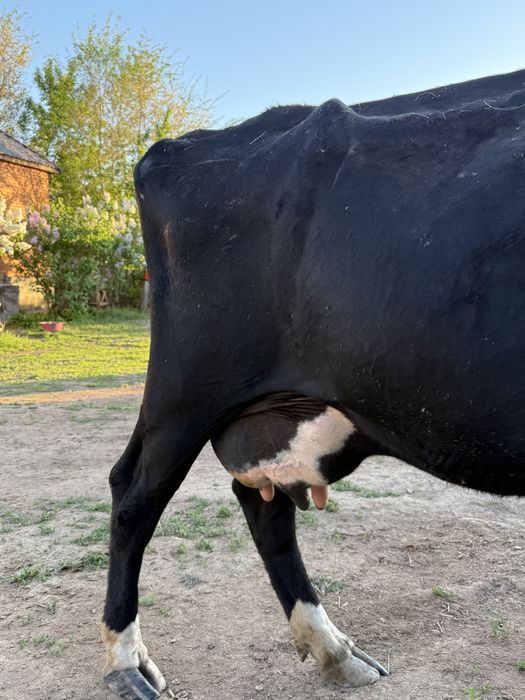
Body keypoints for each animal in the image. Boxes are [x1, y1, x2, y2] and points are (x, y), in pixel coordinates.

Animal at [101, 69, 525, 699]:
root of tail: (182, 145)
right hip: (188, 389)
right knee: (133, 496)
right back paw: (125, 662)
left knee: (261, 504)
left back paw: (334, 652)